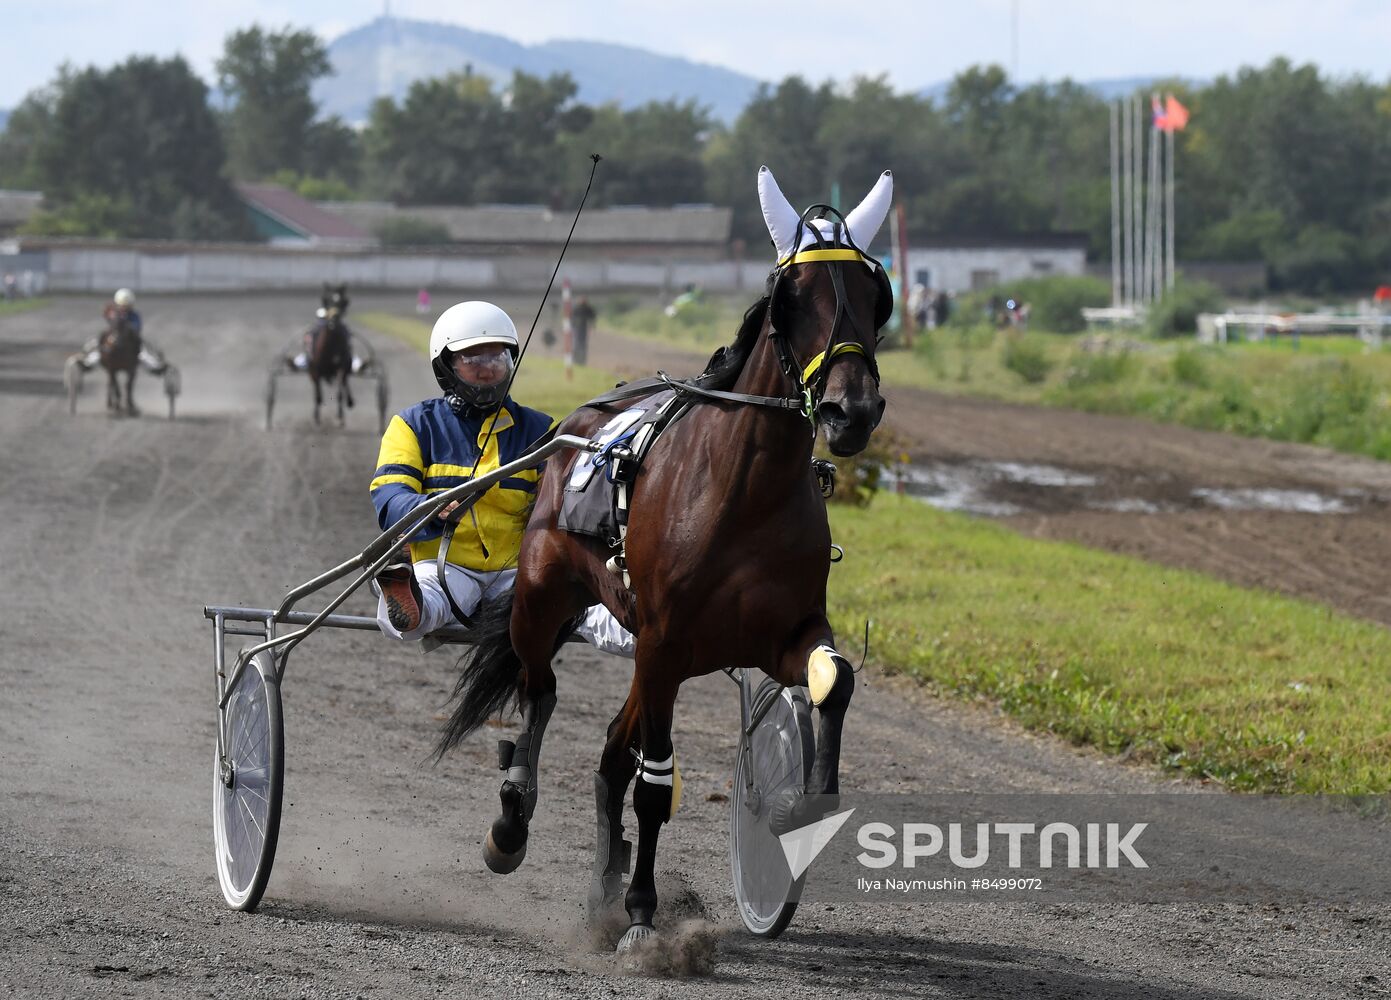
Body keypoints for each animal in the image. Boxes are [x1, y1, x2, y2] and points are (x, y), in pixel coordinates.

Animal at [307, 283, 356, 425]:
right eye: (327, 300)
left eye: (343, 302)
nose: (334, 318)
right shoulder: (315, 369)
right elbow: (318, 394)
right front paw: (316, 417)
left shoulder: (342, 367)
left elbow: (340, 391)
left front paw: (340, 417)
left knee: (345, 383)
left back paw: (349, 400)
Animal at [436, 166, 890, 956]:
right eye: (794, 297)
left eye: (873, 294)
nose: (849, 410)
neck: (746, 493)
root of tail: (574, 428)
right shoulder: (664, 641)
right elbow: (653, 782)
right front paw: (645, 915)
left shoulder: (783, 633)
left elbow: (835, 681)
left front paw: (802, 810)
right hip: (547, 602)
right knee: (539, 690)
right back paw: (514, 821)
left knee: (608, 754)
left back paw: (601, 888)